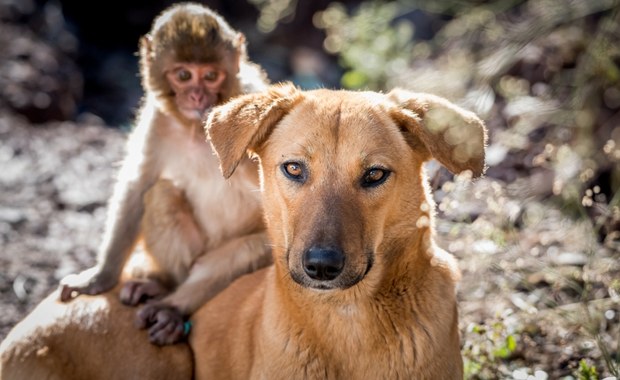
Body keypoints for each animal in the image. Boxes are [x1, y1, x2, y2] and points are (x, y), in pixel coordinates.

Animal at [58, 2, 272, 346]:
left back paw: (171, 307)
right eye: (184, 75)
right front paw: (100, 277)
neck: (197, 126)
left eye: (210, 75)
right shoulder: (158, 119)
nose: (197, 96)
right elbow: (138, 184)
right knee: (160, 194)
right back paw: (164, 283)